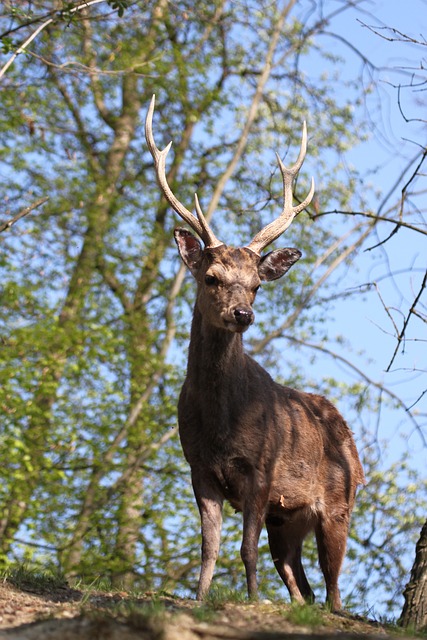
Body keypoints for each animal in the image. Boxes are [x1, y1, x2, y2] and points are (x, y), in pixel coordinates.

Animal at [145, 95, 365, 612]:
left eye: (257, 284)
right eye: (211, 277)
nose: (242, 313)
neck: (223, 423)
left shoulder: (262, 470)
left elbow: (244, 548)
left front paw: (249, 598)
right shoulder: (198, 467)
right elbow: (210, 544)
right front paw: (200, 596)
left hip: (340, 499)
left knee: (333, 581)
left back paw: (330, 608)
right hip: (288, 518)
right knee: (297, 576)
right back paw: (298, 603)